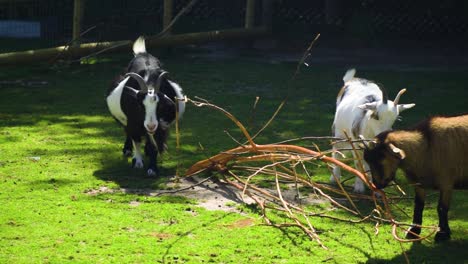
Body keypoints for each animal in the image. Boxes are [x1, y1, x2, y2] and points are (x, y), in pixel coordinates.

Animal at [107, 36, 186, 176]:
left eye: (160, 107)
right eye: (140, 107)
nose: (150, 125)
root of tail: (142, 53)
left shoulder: (159, 125)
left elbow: (153, 144)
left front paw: (152, 169)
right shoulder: (133, 123)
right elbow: (136, 140)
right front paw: (137, 162)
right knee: (127, 132)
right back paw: (127, 149)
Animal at [364, 113, 468, 241]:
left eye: (380, 160)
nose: (376, 184)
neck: (426, 146)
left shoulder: (446, 182)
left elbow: (442, 208)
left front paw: (442, 233)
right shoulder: (418, 183)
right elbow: (418, 205)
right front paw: (413, 231)